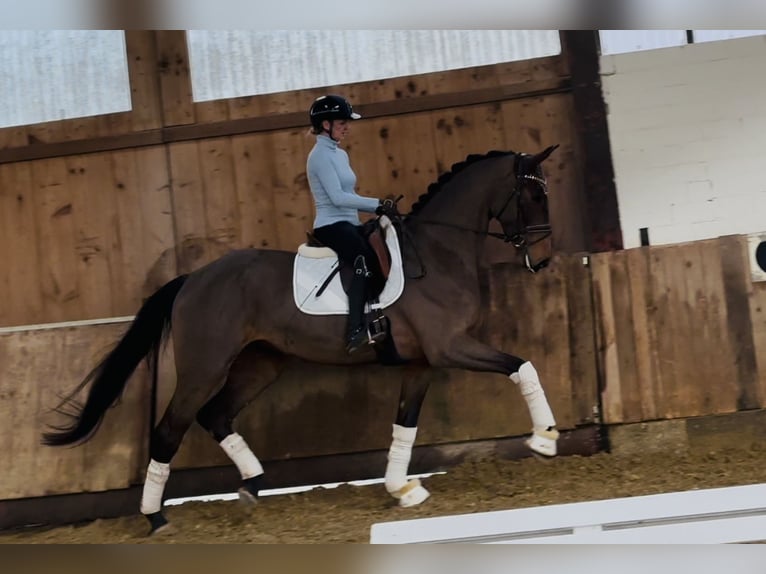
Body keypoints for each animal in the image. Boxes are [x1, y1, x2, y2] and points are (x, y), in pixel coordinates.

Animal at [45, 145, 568, 536]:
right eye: (532, 194)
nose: (543, 256)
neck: (437, 253)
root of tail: (193, 278)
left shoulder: (423, 362)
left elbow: (405, 425)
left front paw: (402, 489)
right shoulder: (450, 347)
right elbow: (522, 365)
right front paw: (544, 439)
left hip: (261, 363)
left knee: (216, 416)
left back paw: (252, 486)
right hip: (205, 367)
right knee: (170, 429)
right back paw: (156, 518)